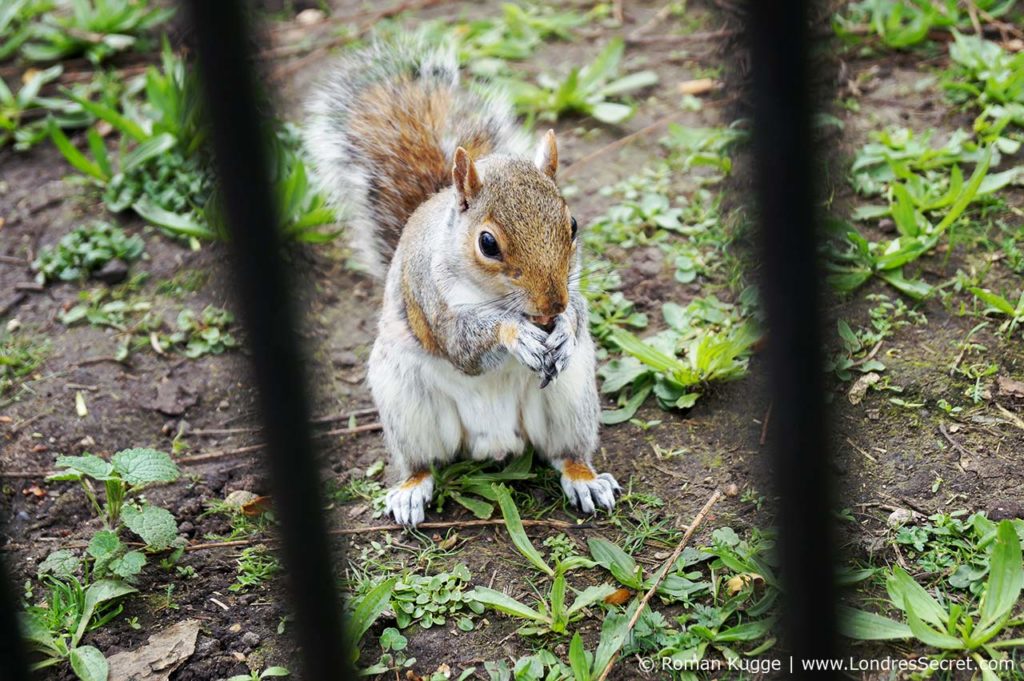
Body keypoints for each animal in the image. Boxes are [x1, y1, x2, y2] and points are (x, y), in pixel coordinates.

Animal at [303, 38, 618, 524]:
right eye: (487, 243)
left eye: (573, 225)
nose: (551, 308)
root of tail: (496, 442)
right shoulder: (431, 299)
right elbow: (462, 343)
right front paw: (516, 335)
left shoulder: (573, 291)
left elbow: (581, 310)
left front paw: (565, 328)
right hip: (408, 407)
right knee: (421, 462)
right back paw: (410, 490)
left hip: (570, 398)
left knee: (566, 452)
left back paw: (585, 479)